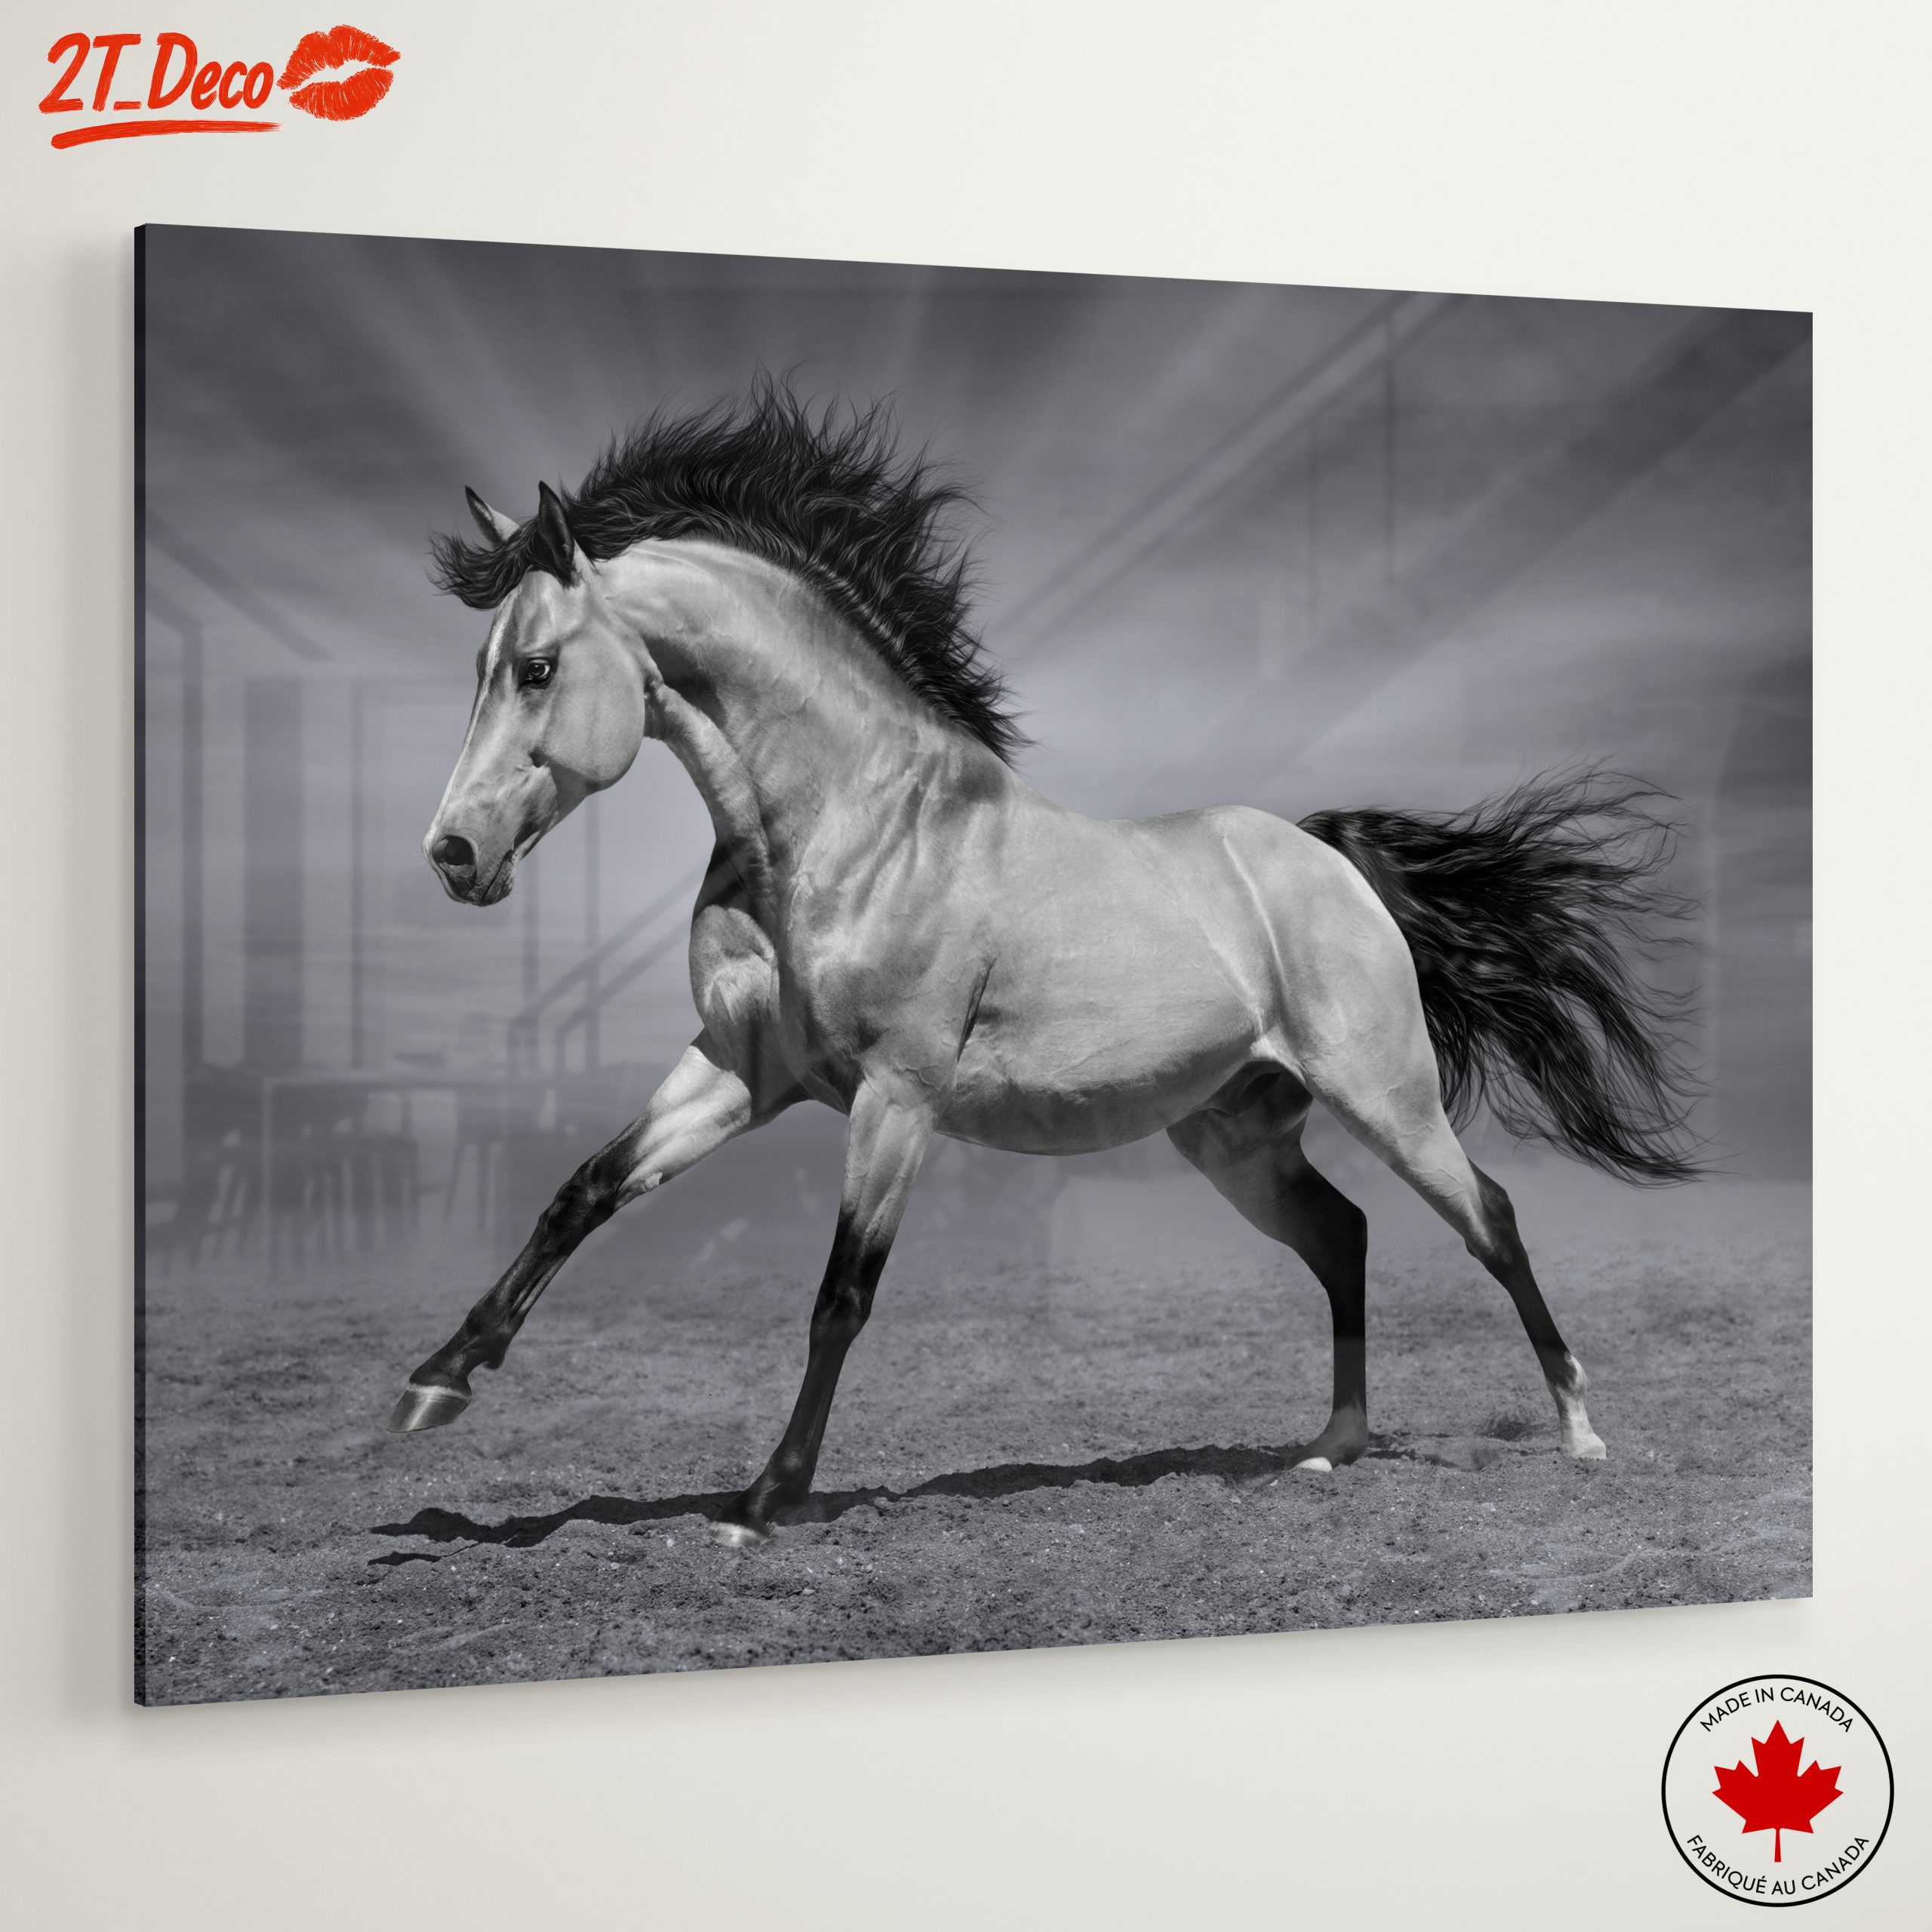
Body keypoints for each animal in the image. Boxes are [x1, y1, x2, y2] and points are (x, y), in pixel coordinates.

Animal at [391, 383, 1697, 1548]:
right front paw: (436, 1381)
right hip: (1236, 1135)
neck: (846, 826)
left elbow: (840, 1296)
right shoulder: (741, 1070)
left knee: (1491, 1218)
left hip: (1386, 1097)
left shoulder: (895, 1098)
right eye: (480, 669)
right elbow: (584, 1191)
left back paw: (1579, 1431)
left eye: (538, 668)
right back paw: (1331, 1448)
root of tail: (1329, 859)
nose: (452, 855)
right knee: (1346, 1237)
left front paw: (763, 1503)